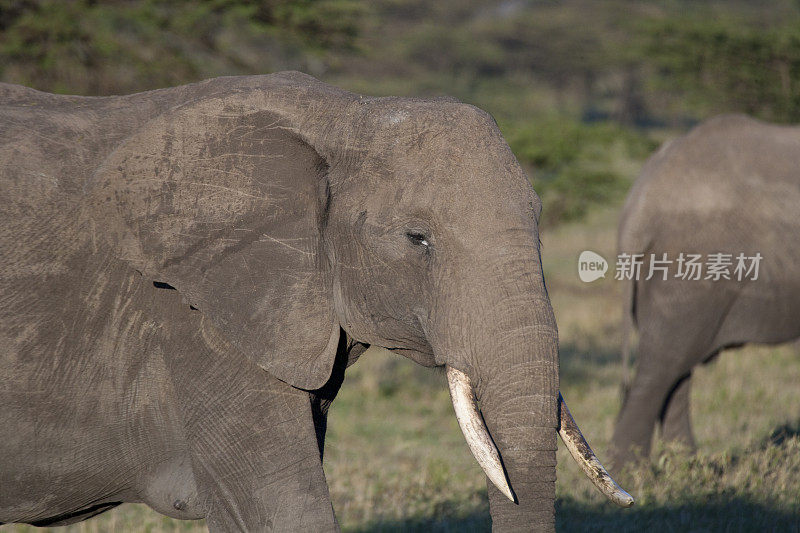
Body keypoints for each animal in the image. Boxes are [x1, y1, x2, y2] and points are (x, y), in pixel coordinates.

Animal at [608, 114, 800, 464]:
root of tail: (640, 202)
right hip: (691, 269)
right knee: (662, 368)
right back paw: (633, 472)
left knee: (677, 367)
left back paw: (685, 467)